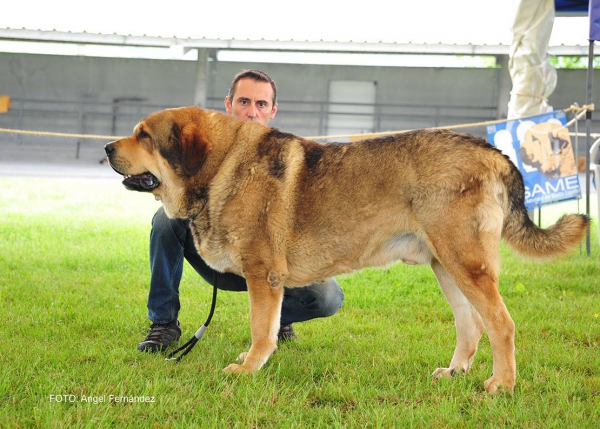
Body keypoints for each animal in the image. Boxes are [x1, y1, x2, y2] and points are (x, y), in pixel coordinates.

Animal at [105, 105, 588, 392]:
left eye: (144, 136)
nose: (108, 147)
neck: (223, 165)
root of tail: (491, 151)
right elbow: (266, 327)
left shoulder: (265, 275)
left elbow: (261, 329)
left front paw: (249, 368)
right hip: (446, 267)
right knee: (470, 327)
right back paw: (453, 373)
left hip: (466, 264)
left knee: (501, 325)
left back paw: (501, 385)